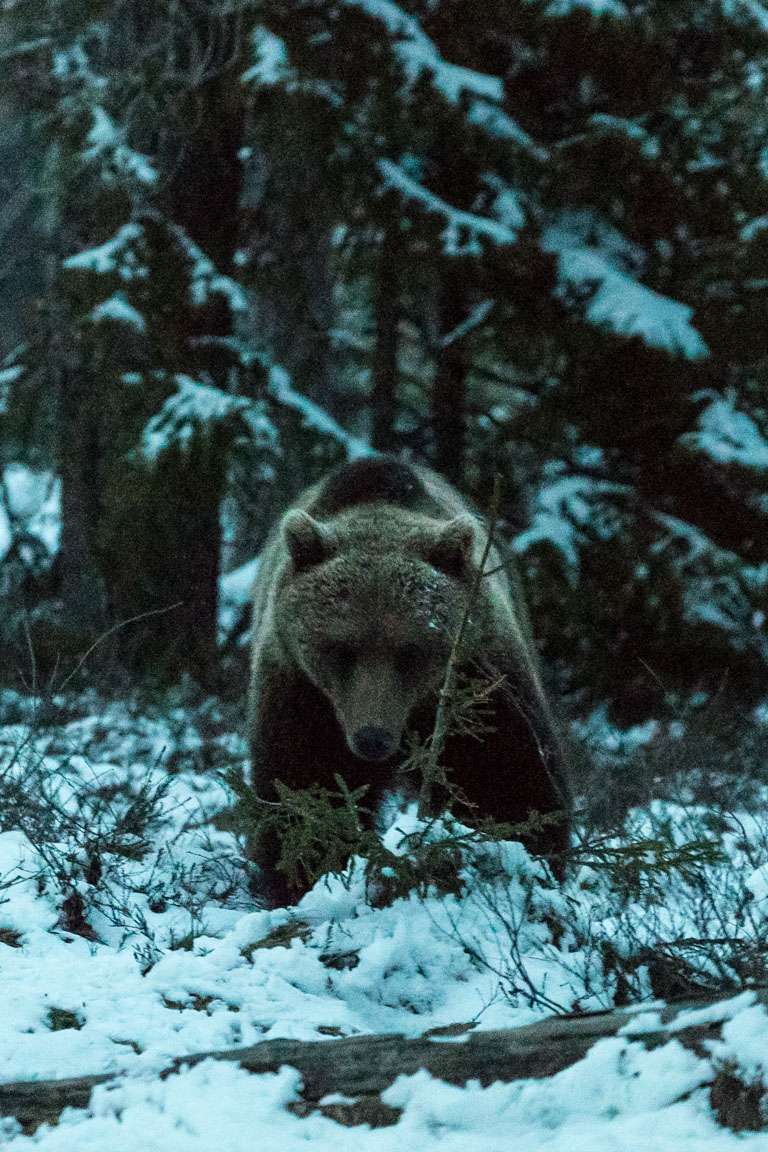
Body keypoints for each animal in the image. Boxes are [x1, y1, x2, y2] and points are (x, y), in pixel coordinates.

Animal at [246, 453, 571, 903]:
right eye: (342, 648)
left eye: (410, 650)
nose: (373, 737)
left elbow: (506, 782)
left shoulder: (476, 686)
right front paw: (307, 878)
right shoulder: (302, 696)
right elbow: (306, 792)